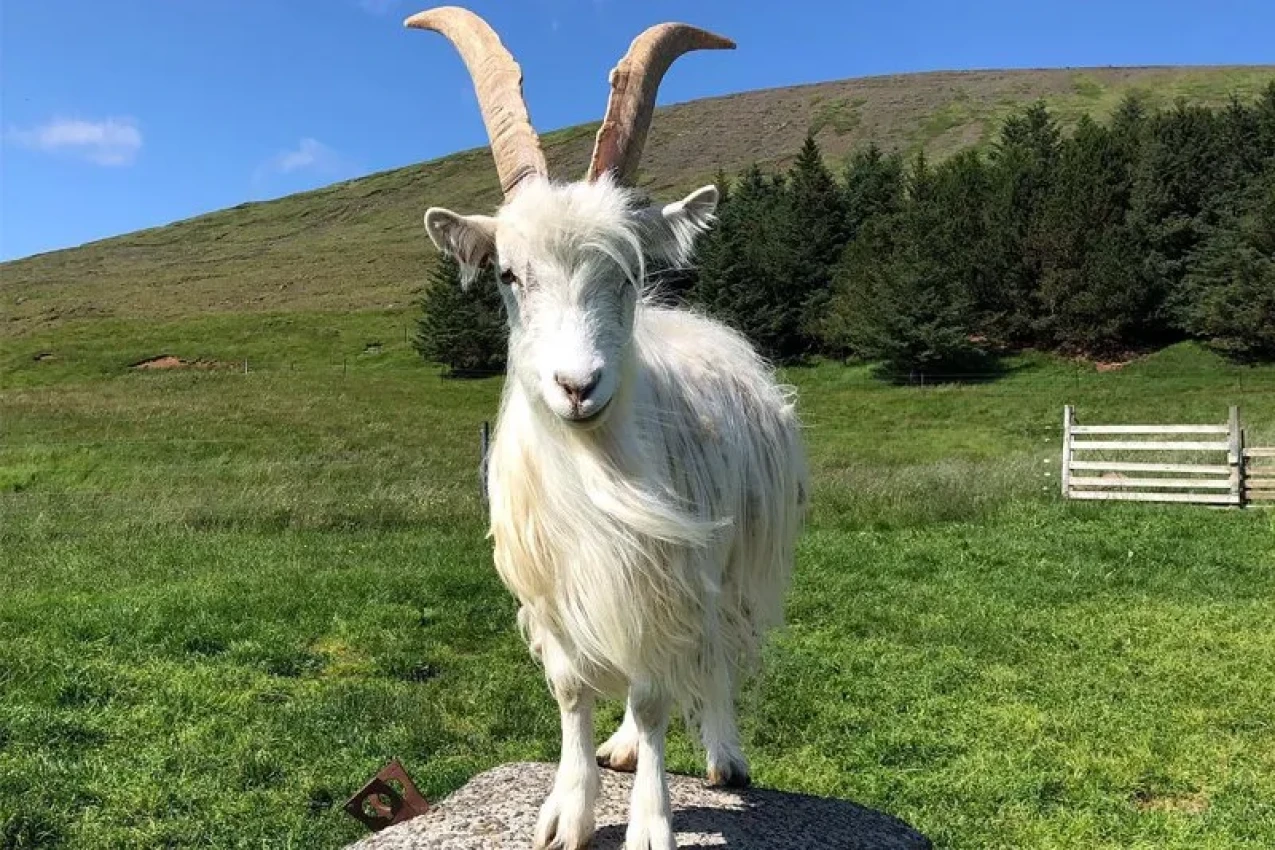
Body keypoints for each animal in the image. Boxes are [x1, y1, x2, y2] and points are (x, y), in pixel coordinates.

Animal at [405, 8, 809, 849]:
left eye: (625, 272)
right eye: (507, 274)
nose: (576, 386)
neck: (593, 464)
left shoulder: (671, 572)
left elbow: (657, 693)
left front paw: (651, 821)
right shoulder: (560, 586)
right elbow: (570, 692)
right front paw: (569, 807)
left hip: (730, 559)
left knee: (717, 648)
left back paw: (722, 755)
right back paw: (619, 747)